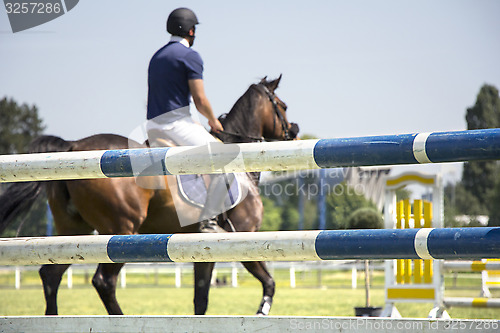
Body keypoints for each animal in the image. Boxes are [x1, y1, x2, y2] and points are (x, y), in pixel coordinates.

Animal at [0, 74, 296, 314]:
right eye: (282, 105)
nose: (294, 131)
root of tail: (73, 146)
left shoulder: (204, 249)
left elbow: (200, 300)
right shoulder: (245, 239)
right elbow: (269, 283)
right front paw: (261, 313)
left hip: (73, 233)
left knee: (50, 275)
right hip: (122, 232)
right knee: (103, 281)